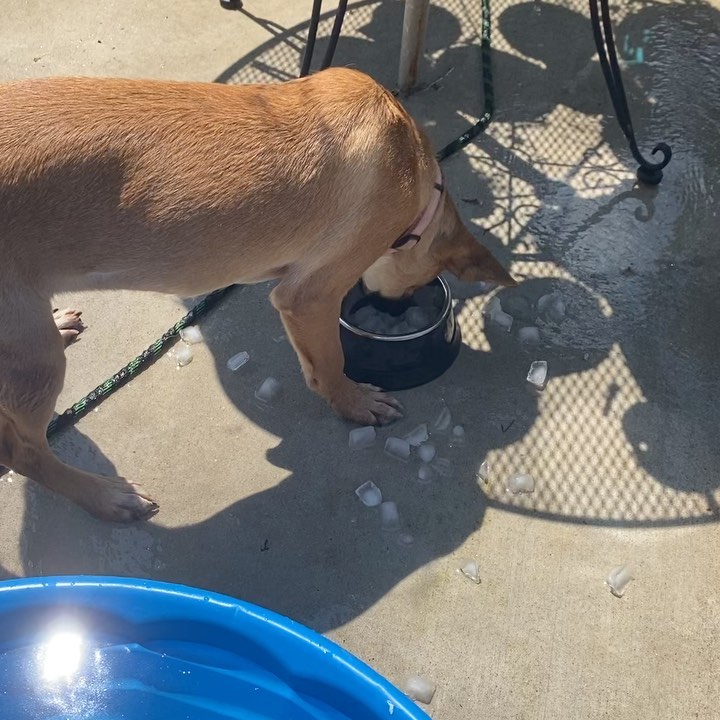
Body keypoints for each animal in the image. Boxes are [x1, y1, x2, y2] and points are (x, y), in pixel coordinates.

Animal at [0, 67, 512, 520]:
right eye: (419, 283)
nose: (394, 307)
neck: (417, 170)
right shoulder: (309, 296)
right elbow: (331, 363)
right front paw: (354, 403)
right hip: (37, 362)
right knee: (21, 454)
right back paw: (105, 497)